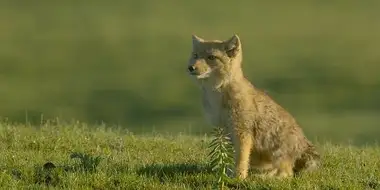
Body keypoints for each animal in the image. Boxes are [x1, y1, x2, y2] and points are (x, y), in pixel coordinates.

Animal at [187, 33, 320, 180]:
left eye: (211, 57)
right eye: (195, 55)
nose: (191, 67)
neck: (217, 94)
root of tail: (304, 144)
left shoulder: (242, 131)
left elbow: (241, 159)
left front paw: (239, 177)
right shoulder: (224, 131)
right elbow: (230, 157)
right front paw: (229, 173)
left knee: (287, 173)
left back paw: (267, 177)